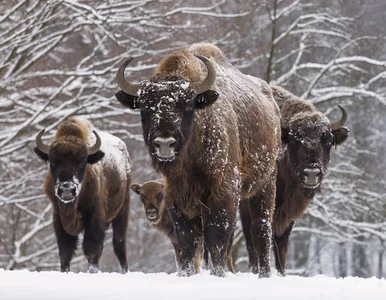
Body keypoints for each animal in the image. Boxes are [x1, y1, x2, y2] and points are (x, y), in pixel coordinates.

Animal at [33, 117, 130, 274]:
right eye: (52, 162)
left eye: (83, 162)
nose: (67, 189)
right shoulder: (58, 218)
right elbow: (65, 252)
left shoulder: (95, 218)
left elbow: (91, 249)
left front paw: (92, 271)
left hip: (123, 209)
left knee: (119, 243)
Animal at [114, 43, 280, 278]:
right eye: (145, 108)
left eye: (187, 106)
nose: (164, 143)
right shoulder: (176, 198)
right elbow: (187, 243)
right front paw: (187, 274)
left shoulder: (222, 194)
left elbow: (216, 240)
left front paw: (217, 274)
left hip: (266, 184)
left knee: (261, 230)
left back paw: (264, 274)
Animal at [272, 85, 350, 276]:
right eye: (294, 139)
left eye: (328, 140)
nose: (312, 173)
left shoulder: (287, 215)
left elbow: (281, 247)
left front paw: (281, 273)